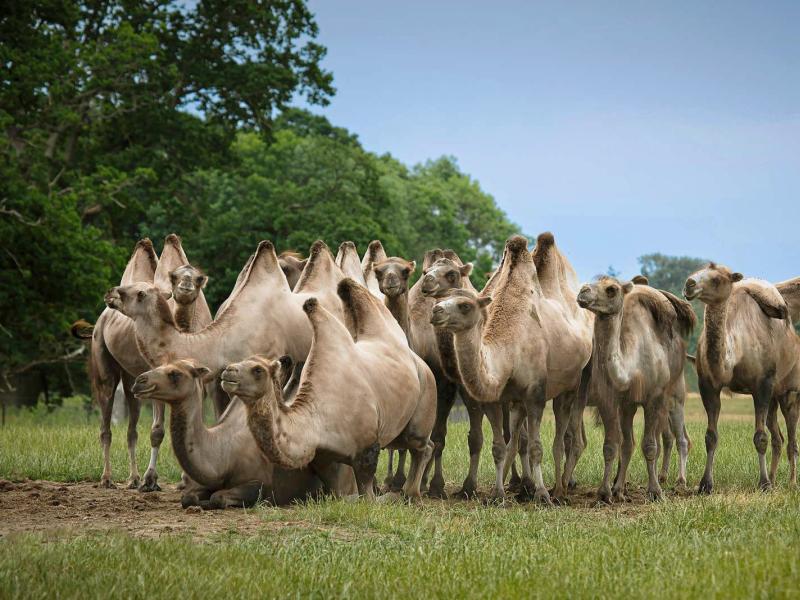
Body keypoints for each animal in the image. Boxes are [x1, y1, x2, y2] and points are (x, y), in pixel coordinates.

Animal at [131, 358, 354, 508]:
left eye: (174, 374)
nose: (139, 381)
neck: (223, 452)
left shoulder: (258, 483)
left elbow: (218, 497)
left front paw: (209, 503)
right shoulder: (208, 480)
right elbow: (188, 497)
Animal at [236, 278, 438, 500]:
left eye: (258, 370)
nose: (228, 373)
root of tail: (418, 359)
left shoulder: (367, 447)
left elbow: (367, 492)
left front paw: (380, 499)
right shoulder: (323, 457)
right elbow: (335, 489)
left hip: (426, 393)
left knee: (420, 445)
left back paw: (411, 494)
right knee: (416, 445)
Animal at [428, 234, 592, 502]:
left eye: (465, 305)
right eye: (444, 300)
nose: (436, 310)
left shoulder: (535, 394)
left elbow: (536, 447)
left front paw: (541, 495)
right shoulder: (495, 399)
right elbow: (498, 447)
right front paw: (497, 494)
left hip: (572, 384)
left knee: (561, 439)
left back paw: (558, 490)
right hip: (518, 401)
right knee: (515, 439)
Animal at [576, 276, 692, 502]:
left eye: (611, 289)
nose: (583, 291)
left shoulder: (654, 398)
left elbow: (649, 446)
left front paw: (655, 491)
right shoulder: (612, 400)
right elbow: (613, 445)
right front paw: (605, 493)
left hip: (675, 394)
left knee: (678, 438)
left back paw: (680, 482)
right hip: (630, 407)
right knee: (633, 443)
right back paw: (621, 488)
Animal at [680, 262, 800, 492]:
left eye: (717, 279)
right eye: (695, 272)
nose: (689, 283)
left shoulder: (762, 384)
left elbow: (760, 437)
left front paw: (764, 484)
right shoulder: (708, 385)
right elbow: (711, 436)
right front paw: (705, 485)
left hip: (790, 390)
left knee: (791, 439)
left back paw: (790, 483)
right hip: (775, 396)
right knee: (777, 437)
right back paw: (774, 478)